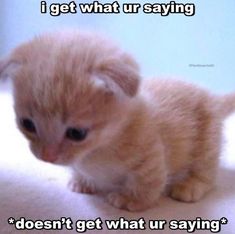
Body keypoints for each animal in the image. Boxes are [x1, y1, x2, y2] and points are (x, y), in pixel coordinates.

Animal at [0, 30, 235, 211]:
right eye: (27, 124)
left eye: (77, 133)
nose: (47, 156)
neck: (98, 149)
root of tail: (212, 96)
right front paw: (82, 181)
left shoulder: (151, 156)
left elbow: (148, 181)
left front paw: (132, 200)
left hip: (207, 140)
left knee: (206, 170)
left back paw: (191, 186)